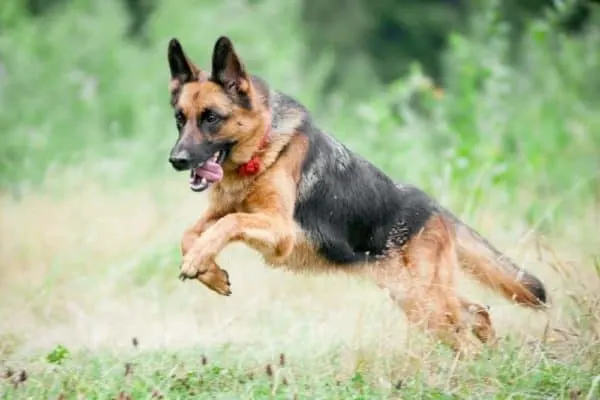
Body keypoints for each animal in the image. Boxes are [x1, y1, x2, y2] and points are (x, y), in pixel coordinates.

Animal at [165, 36, 548, 356]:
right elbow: (191, 233)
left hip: (425, 301)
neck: (261, 150)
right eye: (180, 119)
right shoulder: (219, 214)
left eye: (211, 118)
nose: (176, 160)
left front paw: (200, 261)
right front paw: (209, 271)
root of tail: (434, 207)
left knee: (466, 330)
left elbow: (230, 222)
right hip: (413, 297)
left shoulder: (279, 231)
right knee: (477, 312)